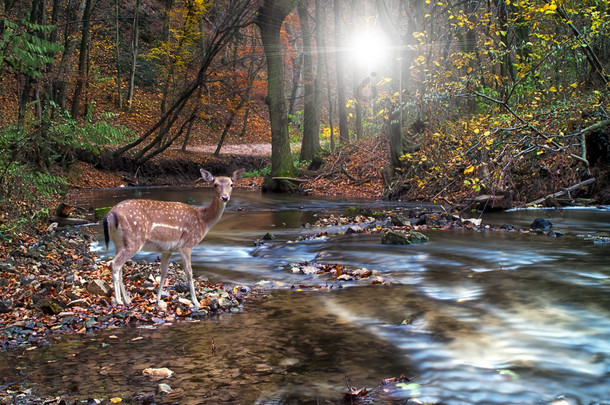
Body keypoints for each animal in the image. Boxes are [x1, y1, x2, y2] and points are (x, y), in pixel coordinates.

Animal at [102, 169, 242, 308]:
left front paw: (158, 300)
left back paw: (126, 300)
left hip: (119, 242)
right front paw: (196, 302)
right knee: (115, 264)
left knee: (120, 266)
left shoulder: (167, 250)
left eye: (231, 184)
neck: (202, 220)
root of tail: (110, 214)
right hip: (134, 239)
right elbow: (189, 272)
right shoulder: (187, 245)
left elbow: (164, 272)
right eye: (215, 184)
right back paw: (118, 300)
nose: (225, 197)